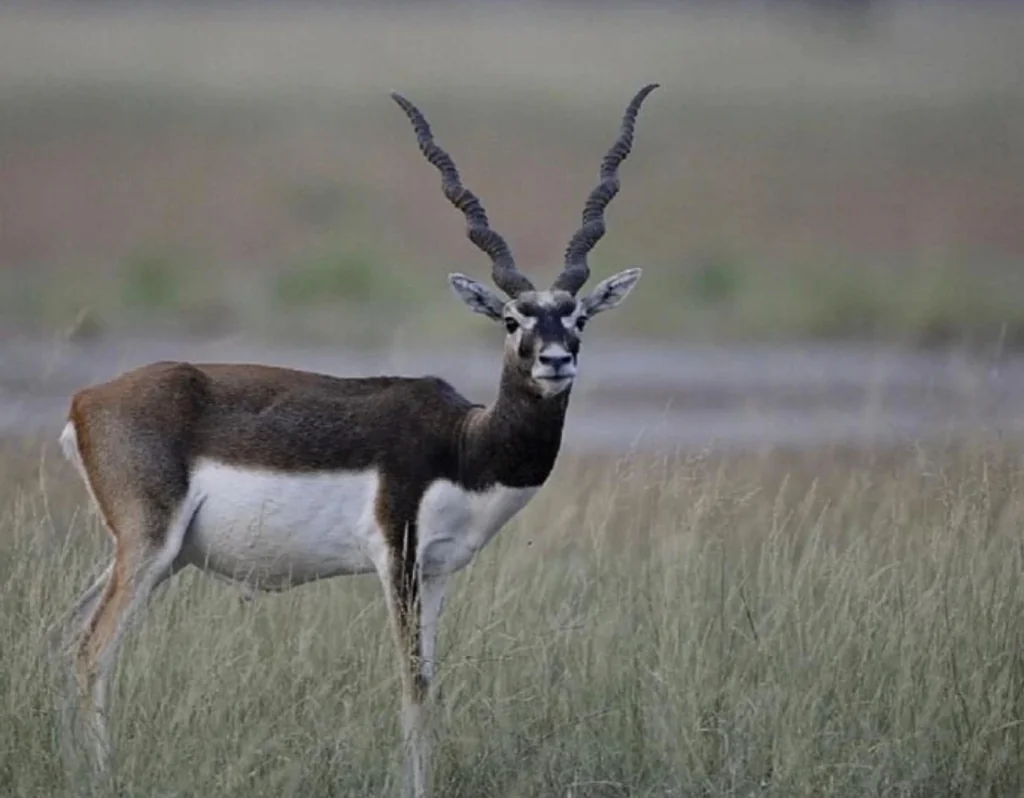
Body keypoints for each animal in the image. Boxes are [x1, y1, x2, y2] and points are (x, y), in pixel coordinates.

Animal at [57, 83, 658, 797]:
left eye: (579, 318)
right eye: (513, 320)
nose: (556, 361)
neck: (466, 444)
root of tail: (86, 400)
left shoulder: (438, 571)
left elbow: (431, 682)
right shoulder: (396, 558)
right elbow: (412, 684)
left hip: (147, 554)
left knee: (68, 636)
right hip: (149, 544)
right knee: (94, 651)